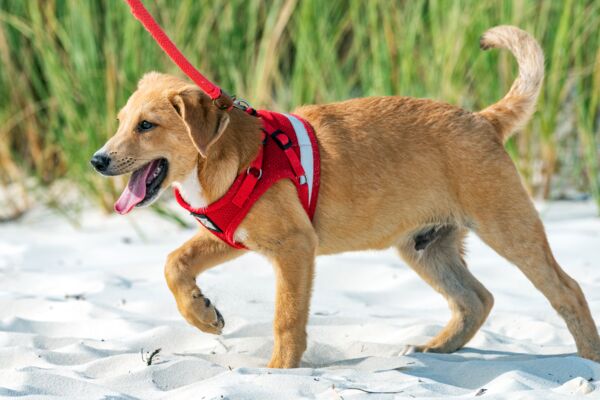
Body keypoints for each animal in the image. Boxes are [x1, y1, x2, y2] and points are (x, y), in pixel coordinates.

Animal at [90, 25, 600, 368]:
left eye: (146, 125)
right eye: (120, 122)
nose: (97, 160)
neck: (227, 152)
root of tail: (482, 119)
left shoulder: (295, 247)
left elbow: (287, 318)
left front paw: (279, 372)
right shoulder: (231, 234)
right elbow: (174, 263)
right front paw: (202, 315)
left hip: (509, 228)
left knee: (567, 290)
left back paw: (587, 359)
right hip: (426, 247)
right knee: (477, 299)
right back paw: (437, 348)